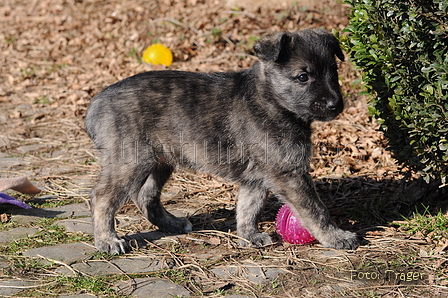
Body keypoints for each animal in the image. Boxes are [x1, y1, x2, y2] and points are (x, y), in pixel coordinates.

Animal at [86, 29, 362, 254]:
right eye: (303, 77)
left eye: (334, 72)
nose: (335, 104)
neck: (272, 99)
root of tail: (97, 102)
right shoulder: (289, 174)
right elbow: (316, 210)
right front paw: (336, 237)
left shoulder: (257, 177)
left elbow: (249, 207)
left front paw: (249, 236)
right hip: (131, 162)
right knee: (102, 197)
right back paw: (107, 240)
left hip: (160, 161)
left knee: (145, 196)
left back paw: (172, 223)